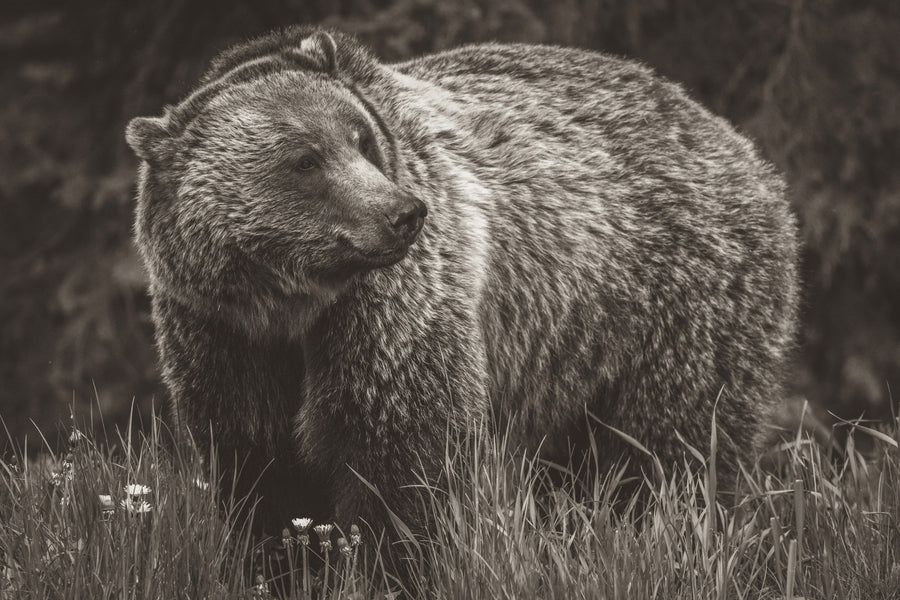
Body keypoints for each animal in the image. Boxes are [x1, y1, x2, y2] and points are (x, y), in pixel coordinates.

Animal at [125, 26, 799, 536]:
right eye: (305, 161)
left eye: (360, 139)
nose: (402, 213)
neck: (292, 303)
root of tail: (729, 136)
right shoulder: (218, 330)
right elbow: (260, 468)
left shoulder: (391, 316)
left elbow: (404, 459)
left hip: (675, 301)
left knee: (673, 446)